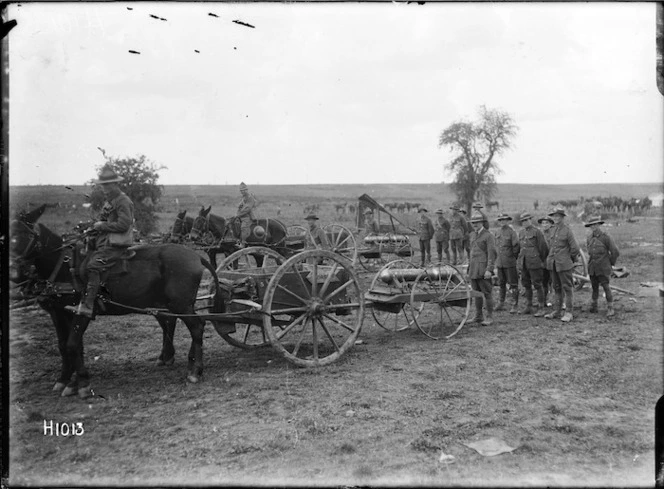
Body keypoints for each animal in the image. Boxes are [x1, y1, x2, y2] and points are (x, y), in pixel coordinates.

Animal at [9, 204, 223, 398]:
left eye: (26, 235)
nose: (14, 271)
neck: (63, 266)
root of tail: (195, 256)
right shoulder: (58, 312)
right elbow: (66, 346)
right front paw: (66, 380)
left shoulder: (82, 312)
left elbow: (72, 344)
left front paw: (82, 383)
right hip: (170, 304)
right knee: (179, 324)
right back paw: (182, 361)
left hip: (181, 304)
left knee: (196, 327)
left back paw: (195, 370)